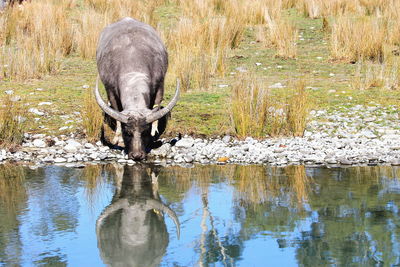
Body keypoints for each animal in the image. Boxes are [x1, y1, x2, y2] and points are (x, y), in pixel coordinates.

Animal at [94, 18, 179, 161]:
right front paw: (118, 138)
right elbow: (116, 111)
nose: (137, 155)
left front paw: (154, 133)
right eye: (127, 132)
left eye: (144, 132)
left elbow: (156, 106)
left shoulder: (160, 84)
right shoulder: (110, 90)